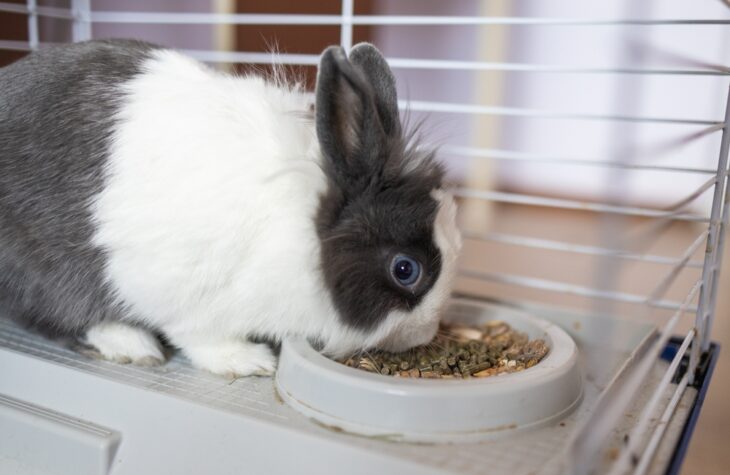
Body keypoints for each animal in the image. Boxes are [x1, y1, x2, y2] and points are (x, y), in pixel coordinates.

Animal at [0, 39, 462, 377]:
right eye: (406, 269)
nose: (424, 335)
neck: (306, 234)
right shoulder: (186, 295)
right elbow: (201, 338)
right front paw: (251, 362)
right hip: (43, 266)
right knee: (48, 314)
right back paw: (131, 344)